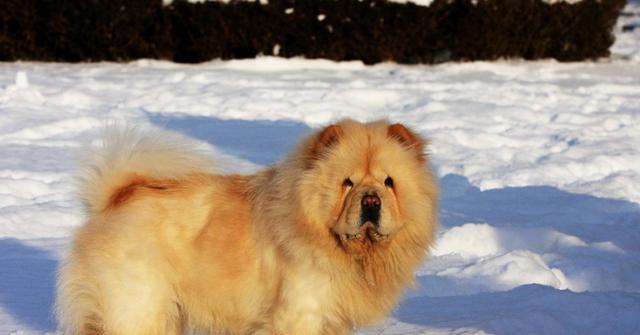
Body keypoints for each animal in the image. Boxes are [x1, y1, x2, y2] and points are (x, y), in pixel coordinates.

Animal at [56, 119, 436, 334]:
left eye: (389, 182)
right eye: (348, 183)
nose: (370, 201)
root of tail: (115, 198)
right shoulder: (300, 314)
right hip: (137, 307)